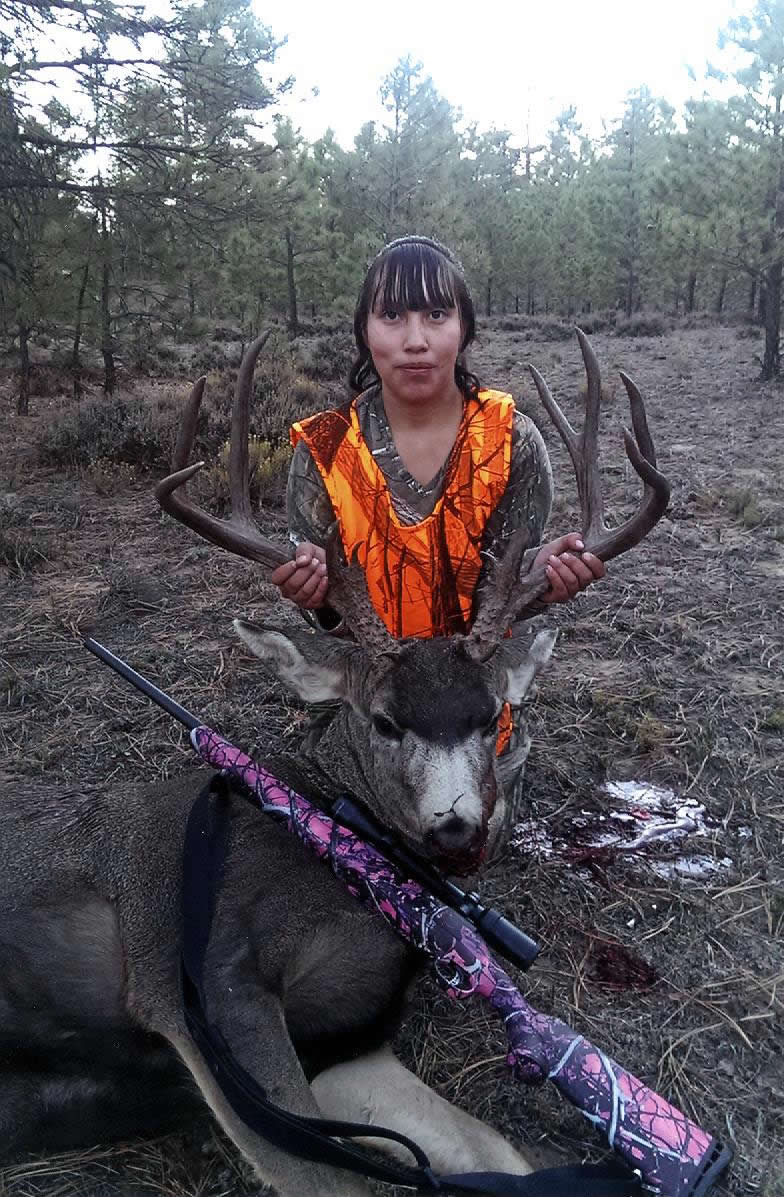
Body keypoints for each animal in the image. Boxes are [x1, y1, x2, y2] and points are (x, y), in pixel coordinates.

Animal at [0, 331, 669, 1197]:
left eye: (491, 715)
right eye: (384, 720)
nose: (458, 827)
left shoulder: (347, 1041)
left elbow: (498, 1153)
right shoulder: (195, 975)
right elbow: (331, 1179)